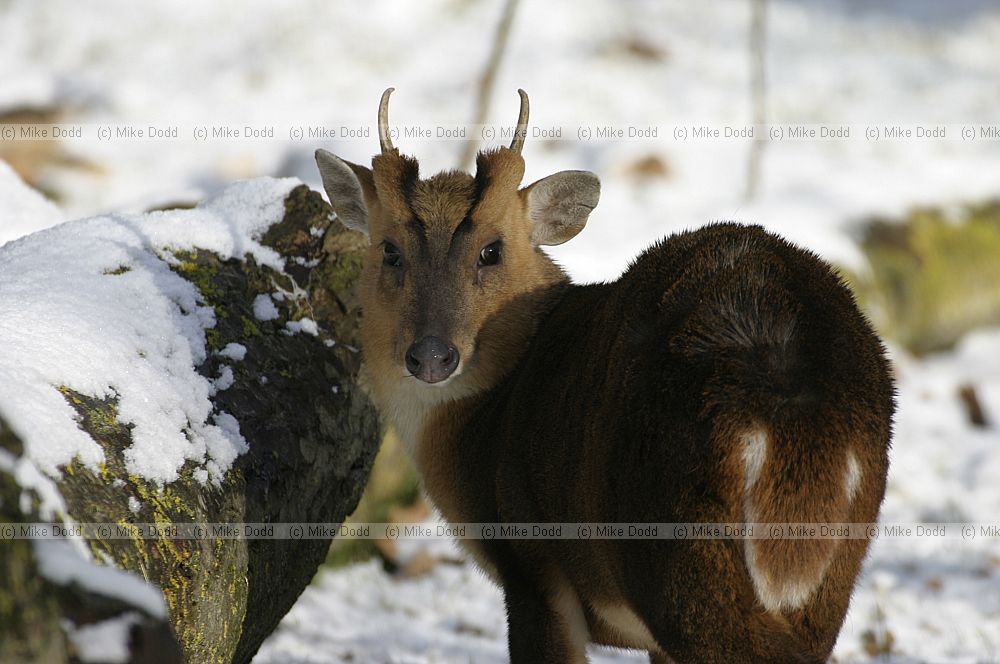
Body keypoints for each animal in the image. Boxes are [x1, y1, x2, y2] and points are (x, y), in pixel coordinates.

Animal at [315, 89, 894, 663]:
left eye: (492, 249)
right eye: (390, 251)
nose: (431, 356)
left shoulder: (531, 565)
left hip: (678, 559)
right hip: (825, 587)